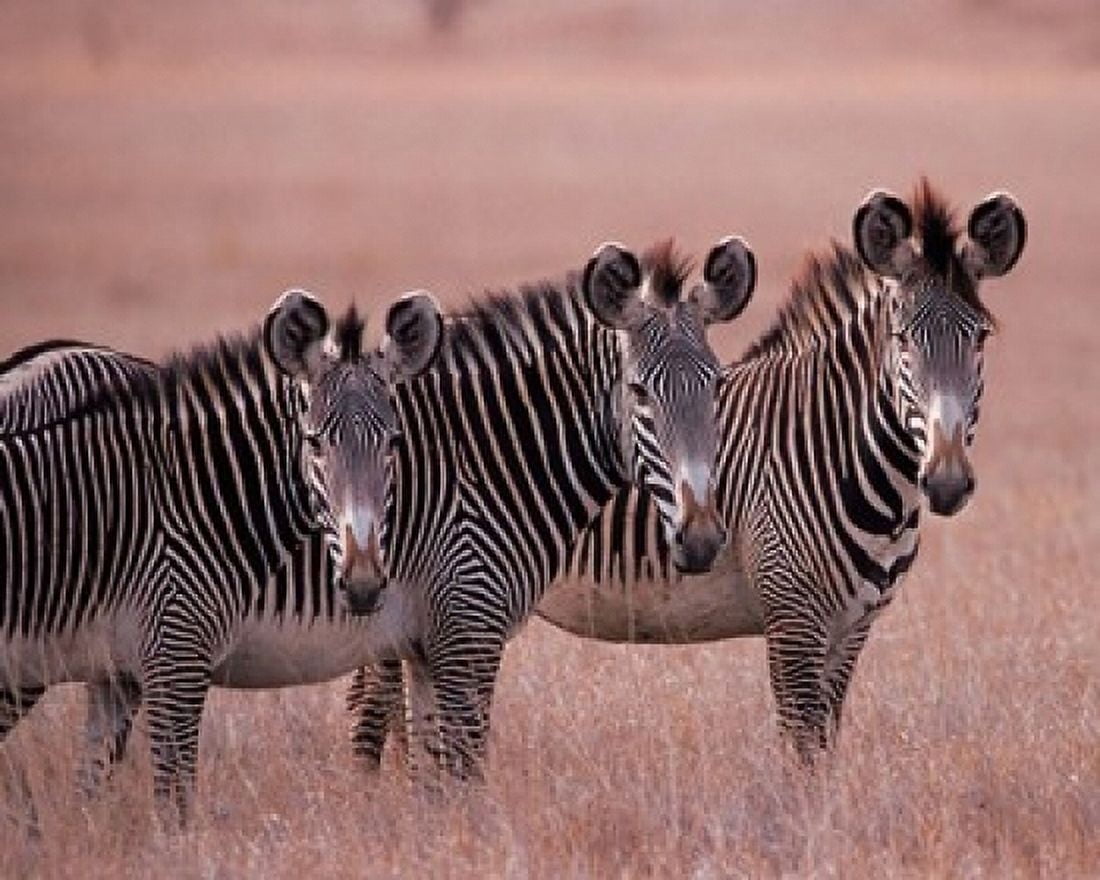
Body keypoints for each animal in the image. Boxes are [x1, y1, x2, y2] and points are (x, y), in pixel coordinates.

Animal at [533, 181, 1028, 758]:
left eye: (981, 338)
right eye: (902, 339)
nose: (946, 484)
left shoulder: (852, 627)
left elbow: (825, 742)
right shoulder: (792, 620)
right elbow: (802, 746)